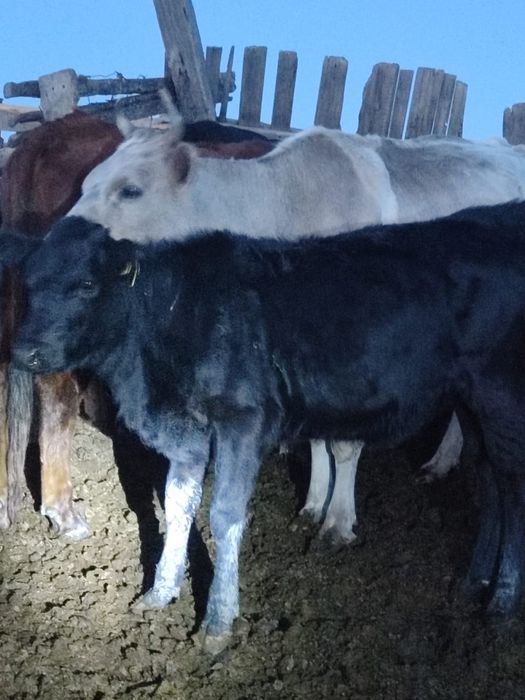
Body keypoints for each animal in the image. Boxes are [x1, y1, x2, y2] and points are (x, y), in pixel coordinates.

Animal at [6, 201, 525, 651]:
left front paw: (218, 622)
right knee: (490, 481)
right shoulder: (187, 433)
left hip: (501, 393)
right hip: (471, 403)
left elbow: (224, 514)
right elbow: (177, 503)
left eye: (86, 284)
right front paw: (160, 592)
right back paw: (474, 581)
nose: (25, 351)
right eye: (27, 283)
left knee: (513, 488)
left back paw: (502, 599)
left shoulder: (243, 422)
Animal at [66, 121, 525, 543]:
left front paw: (338, 520)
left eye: (131, 190)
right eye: (86, 182)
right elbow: (316, 436)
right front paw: (313, 504)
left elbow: (343, 443)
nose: (62, 239)